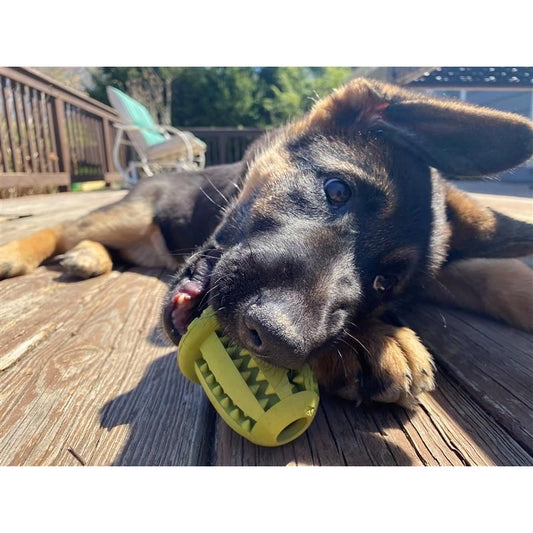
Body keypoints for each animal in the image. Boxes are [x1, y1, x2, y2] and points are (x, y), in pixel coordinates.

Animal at [3, 77, 532, 406]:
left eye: (384, 283)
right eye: (337, 190)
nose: (277, 339)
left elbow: (498, 273)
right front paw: (377, 342)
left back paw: (88, 259)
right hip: (128, 215)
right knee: (63, 228)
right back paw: (23, 253)